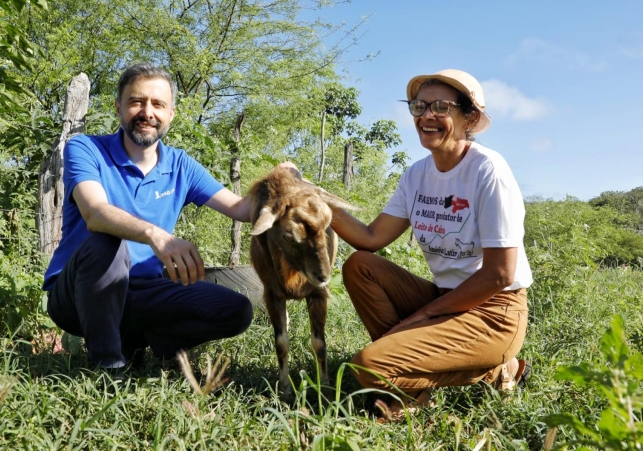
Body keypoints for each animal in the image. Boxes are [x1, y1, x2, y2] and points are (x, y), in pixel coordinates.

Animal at [248, 168, 358, 400]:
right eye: (288, 236)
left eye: (327, 226)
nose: (323, 276)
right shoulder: (272, 294)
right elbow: (281, 343)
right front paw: (285, 390)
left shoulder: (317, 294)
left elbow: (320, 343)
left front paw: (325, 387)